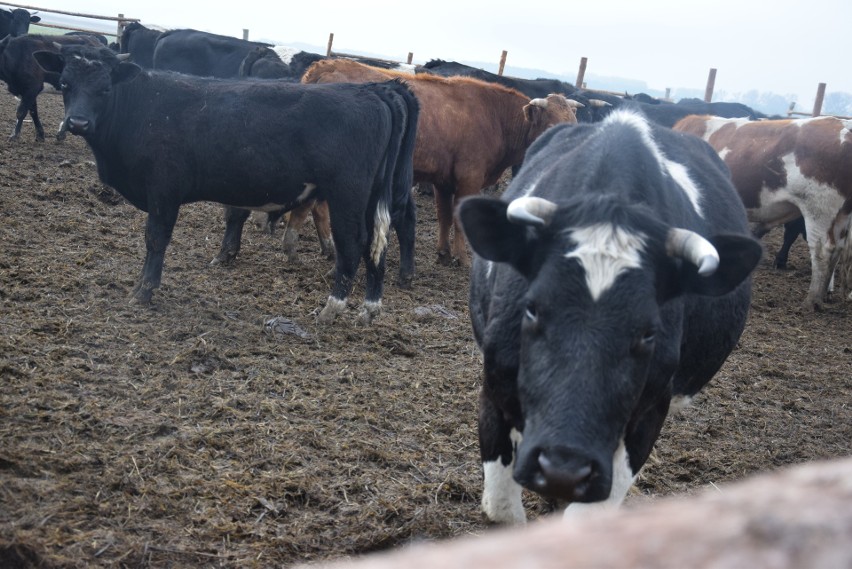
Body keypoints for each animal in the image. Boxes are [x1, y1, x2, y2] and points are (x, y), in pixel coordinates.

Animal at [34, 45, 420, 324]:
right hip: (372, 197)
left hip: (347, 195)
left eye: (104, 88)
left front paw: (143, 291)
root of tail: (374, 90)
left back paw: (331, 308)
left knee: (353, 245)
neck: (144, 107)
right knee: (376, 245)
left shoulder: (163, 191)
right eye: (65, 84)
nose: (78, 122)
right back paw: (369, 309)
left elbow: (156, 240)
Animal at [292, 58, 580, 268]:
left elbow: (444, 216)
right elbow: (459, 220)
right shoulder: (469, 179)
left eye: (575, 122)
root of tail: (326, 65)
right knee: (319, 206)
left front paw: (443, 252)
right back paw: (326, 246)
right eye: (551, 126)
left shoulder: (444, 181)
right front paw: (461, 258)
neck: (495, 117)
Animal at [456, 107, 764, 524]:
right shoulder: (495, 388)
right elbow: (503, 510)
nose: (563, 468)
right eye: (531, 309)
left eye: (649, 332)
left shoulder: (649, 413)